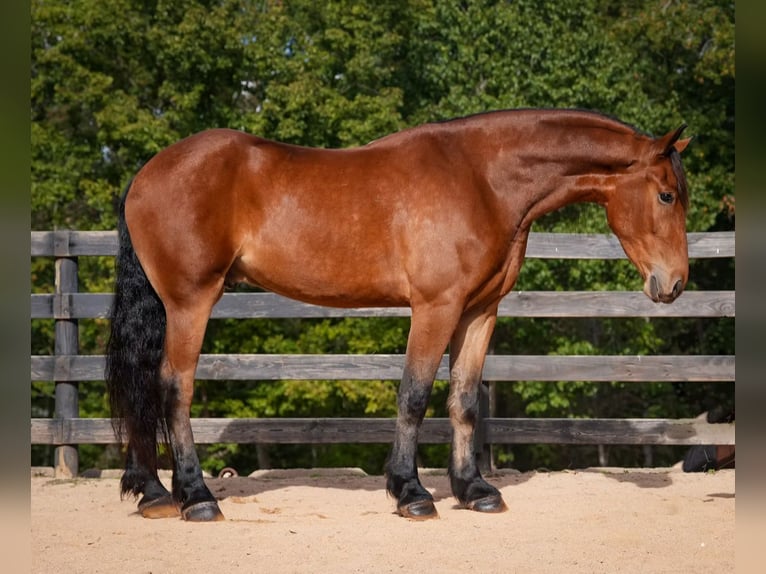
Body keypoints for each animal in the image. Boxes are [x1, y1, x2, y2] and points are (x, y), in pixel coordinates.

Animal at [106, 108, 691, 522]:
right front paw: (411, 493)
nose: (675, 284)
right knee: (173, 387)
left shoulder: (479, 311)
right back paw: (197, 497)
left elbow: (463, 401)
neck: (481, 178)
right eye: (666, 194)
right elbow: (414, 395)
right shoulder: (435, 307)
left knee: (144, 385)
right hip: (190, 302)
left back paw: (154, 493)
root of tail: (147, 173)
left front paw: (473, 489)